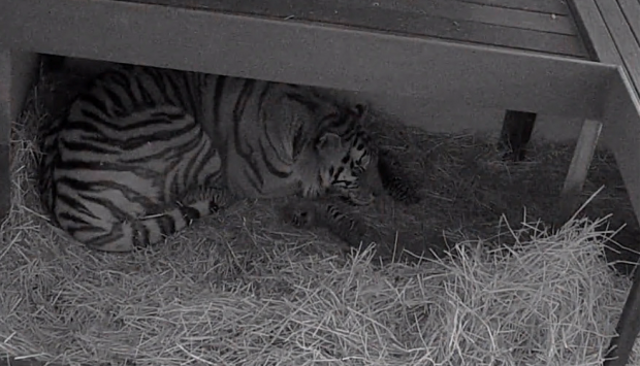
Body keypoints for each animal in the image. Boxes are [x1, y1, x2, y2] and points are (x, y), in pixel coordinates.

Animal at [40, 63, 376, 252]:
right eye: (358, 169)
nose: (376, 197)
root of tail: (67, 203)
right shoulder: (262, 183)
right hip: (182, 129)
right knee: (194, 195)